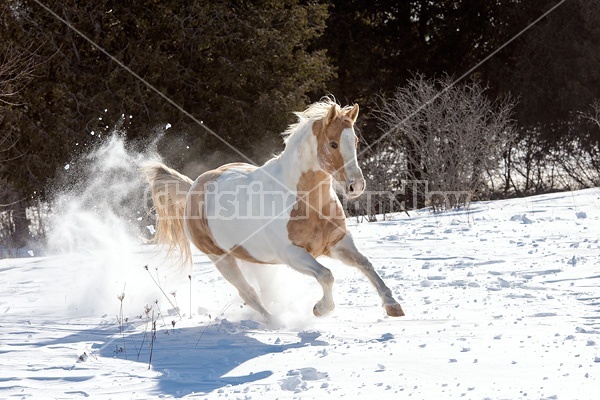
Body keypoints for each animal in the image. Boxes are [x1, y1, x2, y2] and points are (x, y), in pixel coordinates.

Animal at [142, 99, 404, 322]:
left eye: (355, 141)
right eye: (333, 144)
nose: (356, 186)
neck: (307, 203)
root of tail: (193, 187)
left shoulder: (337, 243)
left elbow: (365, 263)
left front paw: (393, 306)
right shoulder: (292, 254)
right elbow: (326, 275)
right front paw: (320, 309)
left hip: (252, 257)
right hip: (221, 258)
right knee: (248, 293)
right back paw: (276, 323)